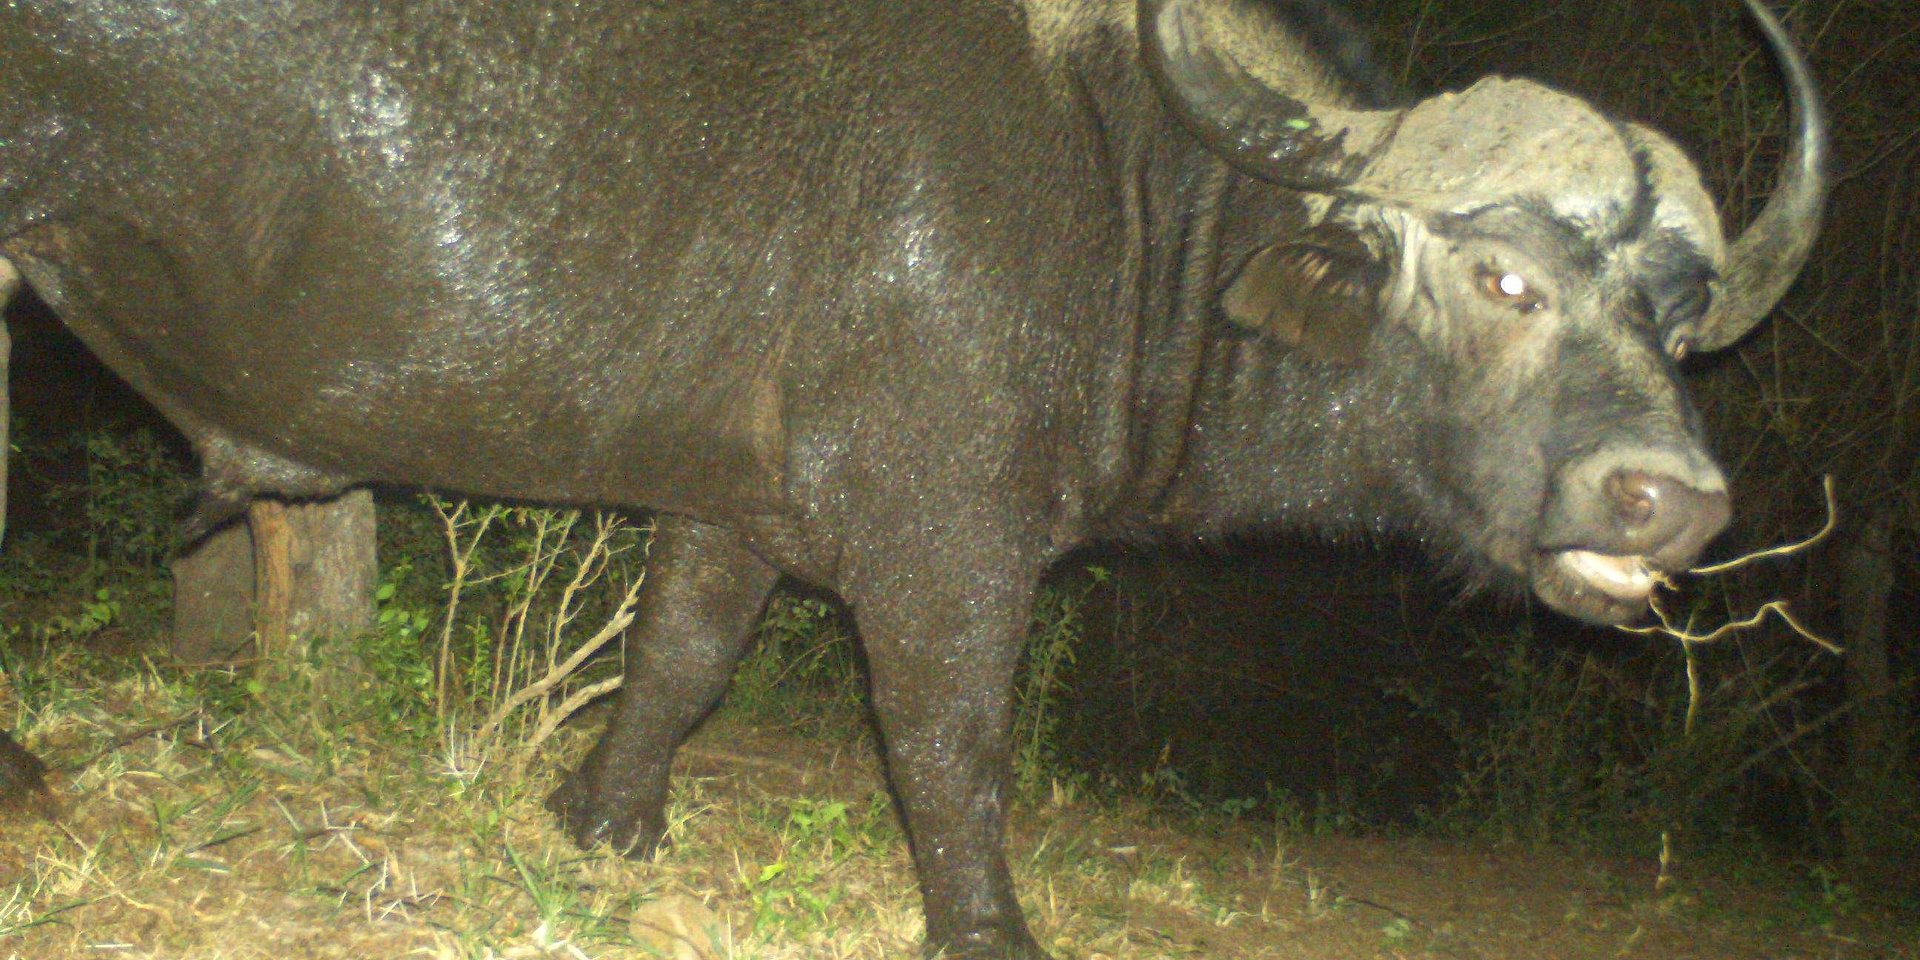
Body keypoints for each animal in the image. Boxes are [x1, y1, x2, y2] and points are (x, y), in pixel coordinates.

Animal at [0, 0, 1825, 955]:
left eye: (1674, 318)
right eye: (1505, 279)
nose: (1673, 498)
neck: (1128, 192)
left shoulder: (732, 512)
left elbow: (678, 660)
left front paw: (603, 822)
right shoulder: (948, 550)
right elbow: (951, 746)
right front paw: (988, 926)